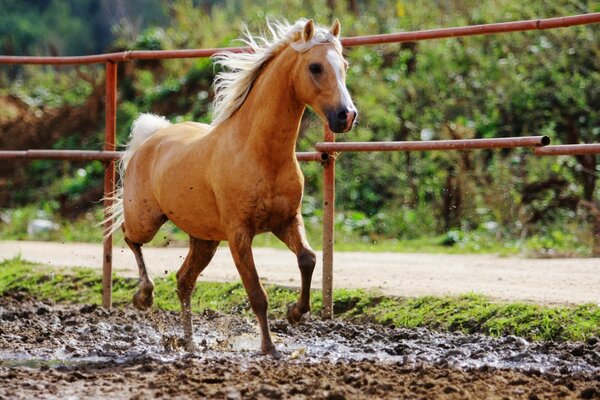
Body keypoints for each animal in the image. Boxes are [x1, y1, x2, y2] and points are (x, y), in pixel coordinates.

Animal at [106, 18, 356, 358]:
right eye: (315, 67)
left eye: (344, 65)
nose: (346, 115)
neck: (260, 154)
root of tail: (151, 138)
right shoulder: (239, 234)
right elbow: (257, 293)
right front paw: (269, 348)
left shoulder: (286, 221)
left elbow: (308, 258)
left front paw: (295, 312)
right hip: (147, 220)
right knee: (130, 237)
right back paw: (144, 296)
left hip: (205, 239)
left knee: (184, 281)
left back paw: (190, 343)